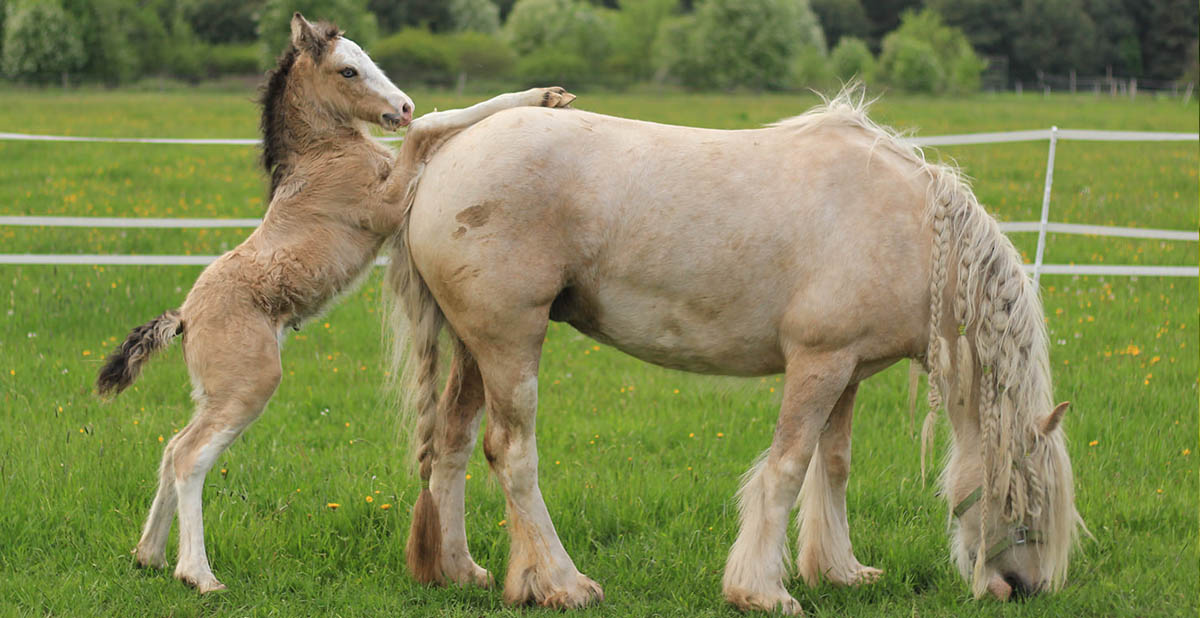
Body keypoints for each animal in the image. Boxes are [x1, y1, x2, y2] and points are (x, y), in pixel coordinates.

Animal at [96, 13, 573, 595]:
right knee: (189, 457)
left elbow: (430, 131)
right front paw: (545, 95)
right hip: (247, 385)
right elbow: (432, 128)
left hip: (213, 393)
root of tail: (185, 316)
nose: (403, 105)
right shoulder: (386, 203)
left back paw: (150, 555)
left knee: (170, 448)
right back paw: (200, 575)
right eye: (348, 69)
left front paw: (549, 96)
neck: (325, 156)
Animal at [388, 90, 1084, 614]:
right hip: (511, 341)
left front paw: (838, 571)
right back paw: (560, 583)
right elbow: (787, 468)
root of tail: (443, 149)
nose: (1019, 588)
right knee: (511, 454)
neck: (908, 232)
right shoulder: (817, 363)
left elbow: (833, 467)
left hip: (474, 349)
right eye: (1024, 496)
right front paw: (762, 591)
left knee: (450, 443)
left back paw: (458, 570)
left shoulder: (847, 370)